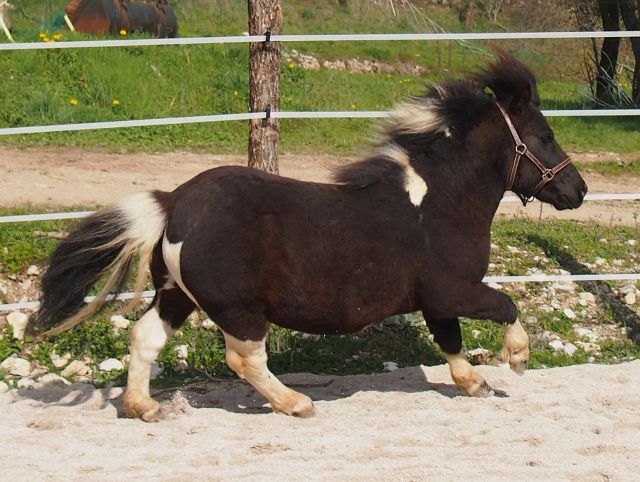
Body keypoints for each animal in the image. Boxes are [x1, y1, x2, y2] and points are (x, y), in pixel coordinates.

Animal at [27, 53, 588, 421]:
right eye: (544, 136)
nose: (578, 189)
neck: (439, 203)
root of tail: (173, 202)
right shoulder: (454, 289)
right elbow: (505, 306)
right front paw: (517, 360)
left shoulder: (436, 299)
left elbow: (449, 341)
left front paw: (475, 383)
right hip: (237, 307)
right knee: (244, 359)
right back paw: (296, 403)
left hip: (177, 294)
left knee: (144, 337)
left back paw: (144, 407)